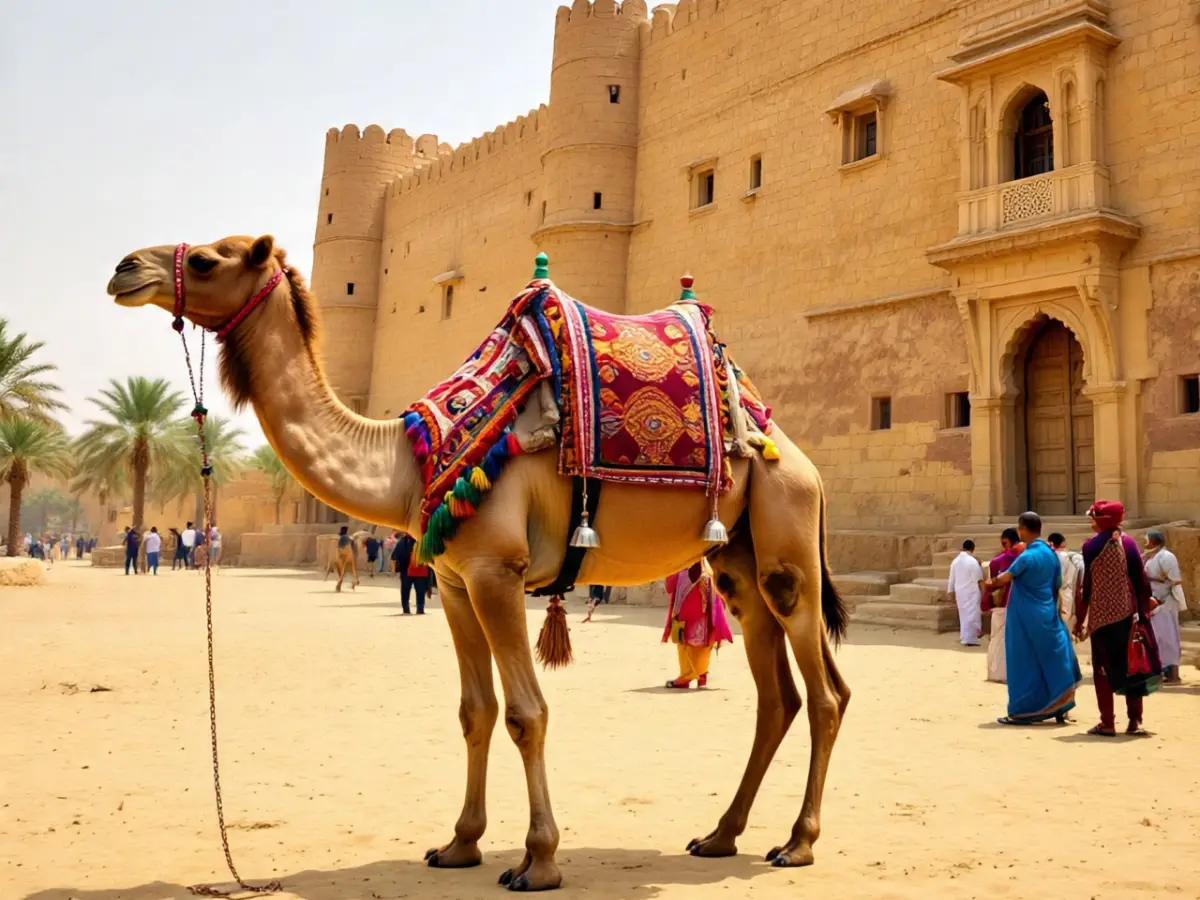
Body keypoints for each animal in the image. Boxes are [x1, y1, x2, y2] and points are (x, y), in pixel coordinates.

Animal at [107, 235, 851, 892]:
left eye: (207, 260)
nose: (125, 268)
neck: (407, 460)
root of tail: (797, 454)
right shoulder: (451, 580)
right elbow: (475, 710)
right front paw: (458, 845)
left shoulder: (498, 570)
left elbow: (527, 712)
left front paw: (537, 862)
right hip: (739, 561)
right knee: (777, 696)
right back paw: (720, 835)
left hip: (787, 536)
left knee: (826, 694)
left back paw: (797, 844)